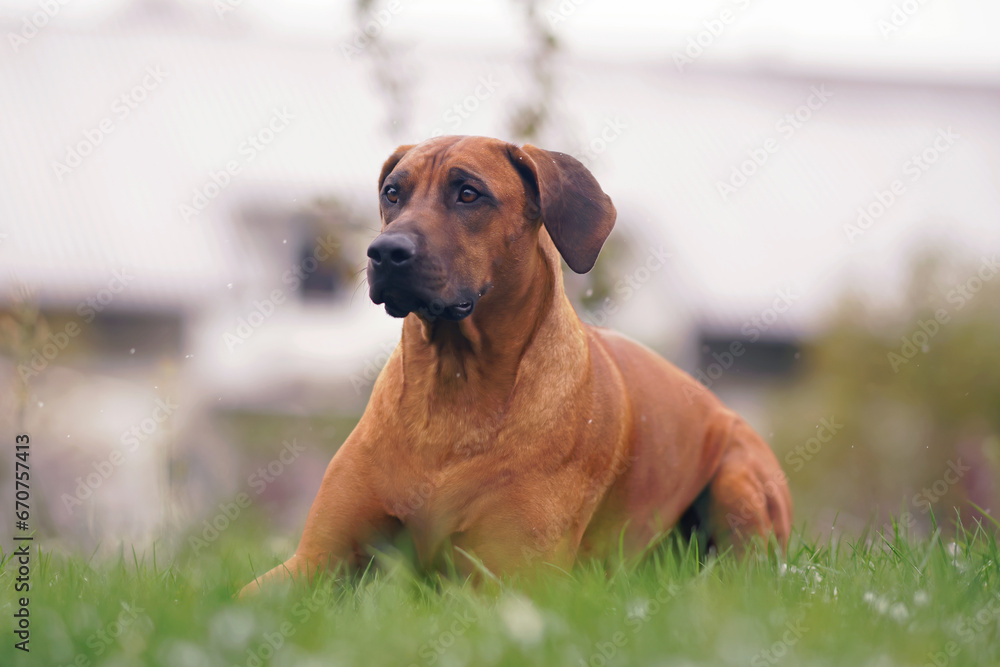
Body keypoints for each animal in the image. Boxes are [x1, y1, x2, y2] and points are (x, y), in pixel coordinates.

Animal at [240, 136, 788, 596]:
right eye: (393, 193)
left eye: (469, 194)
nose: (385, 251)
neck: (453, 386)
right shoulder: (314, 560)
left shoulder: (511, 578)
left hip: (740, 477)